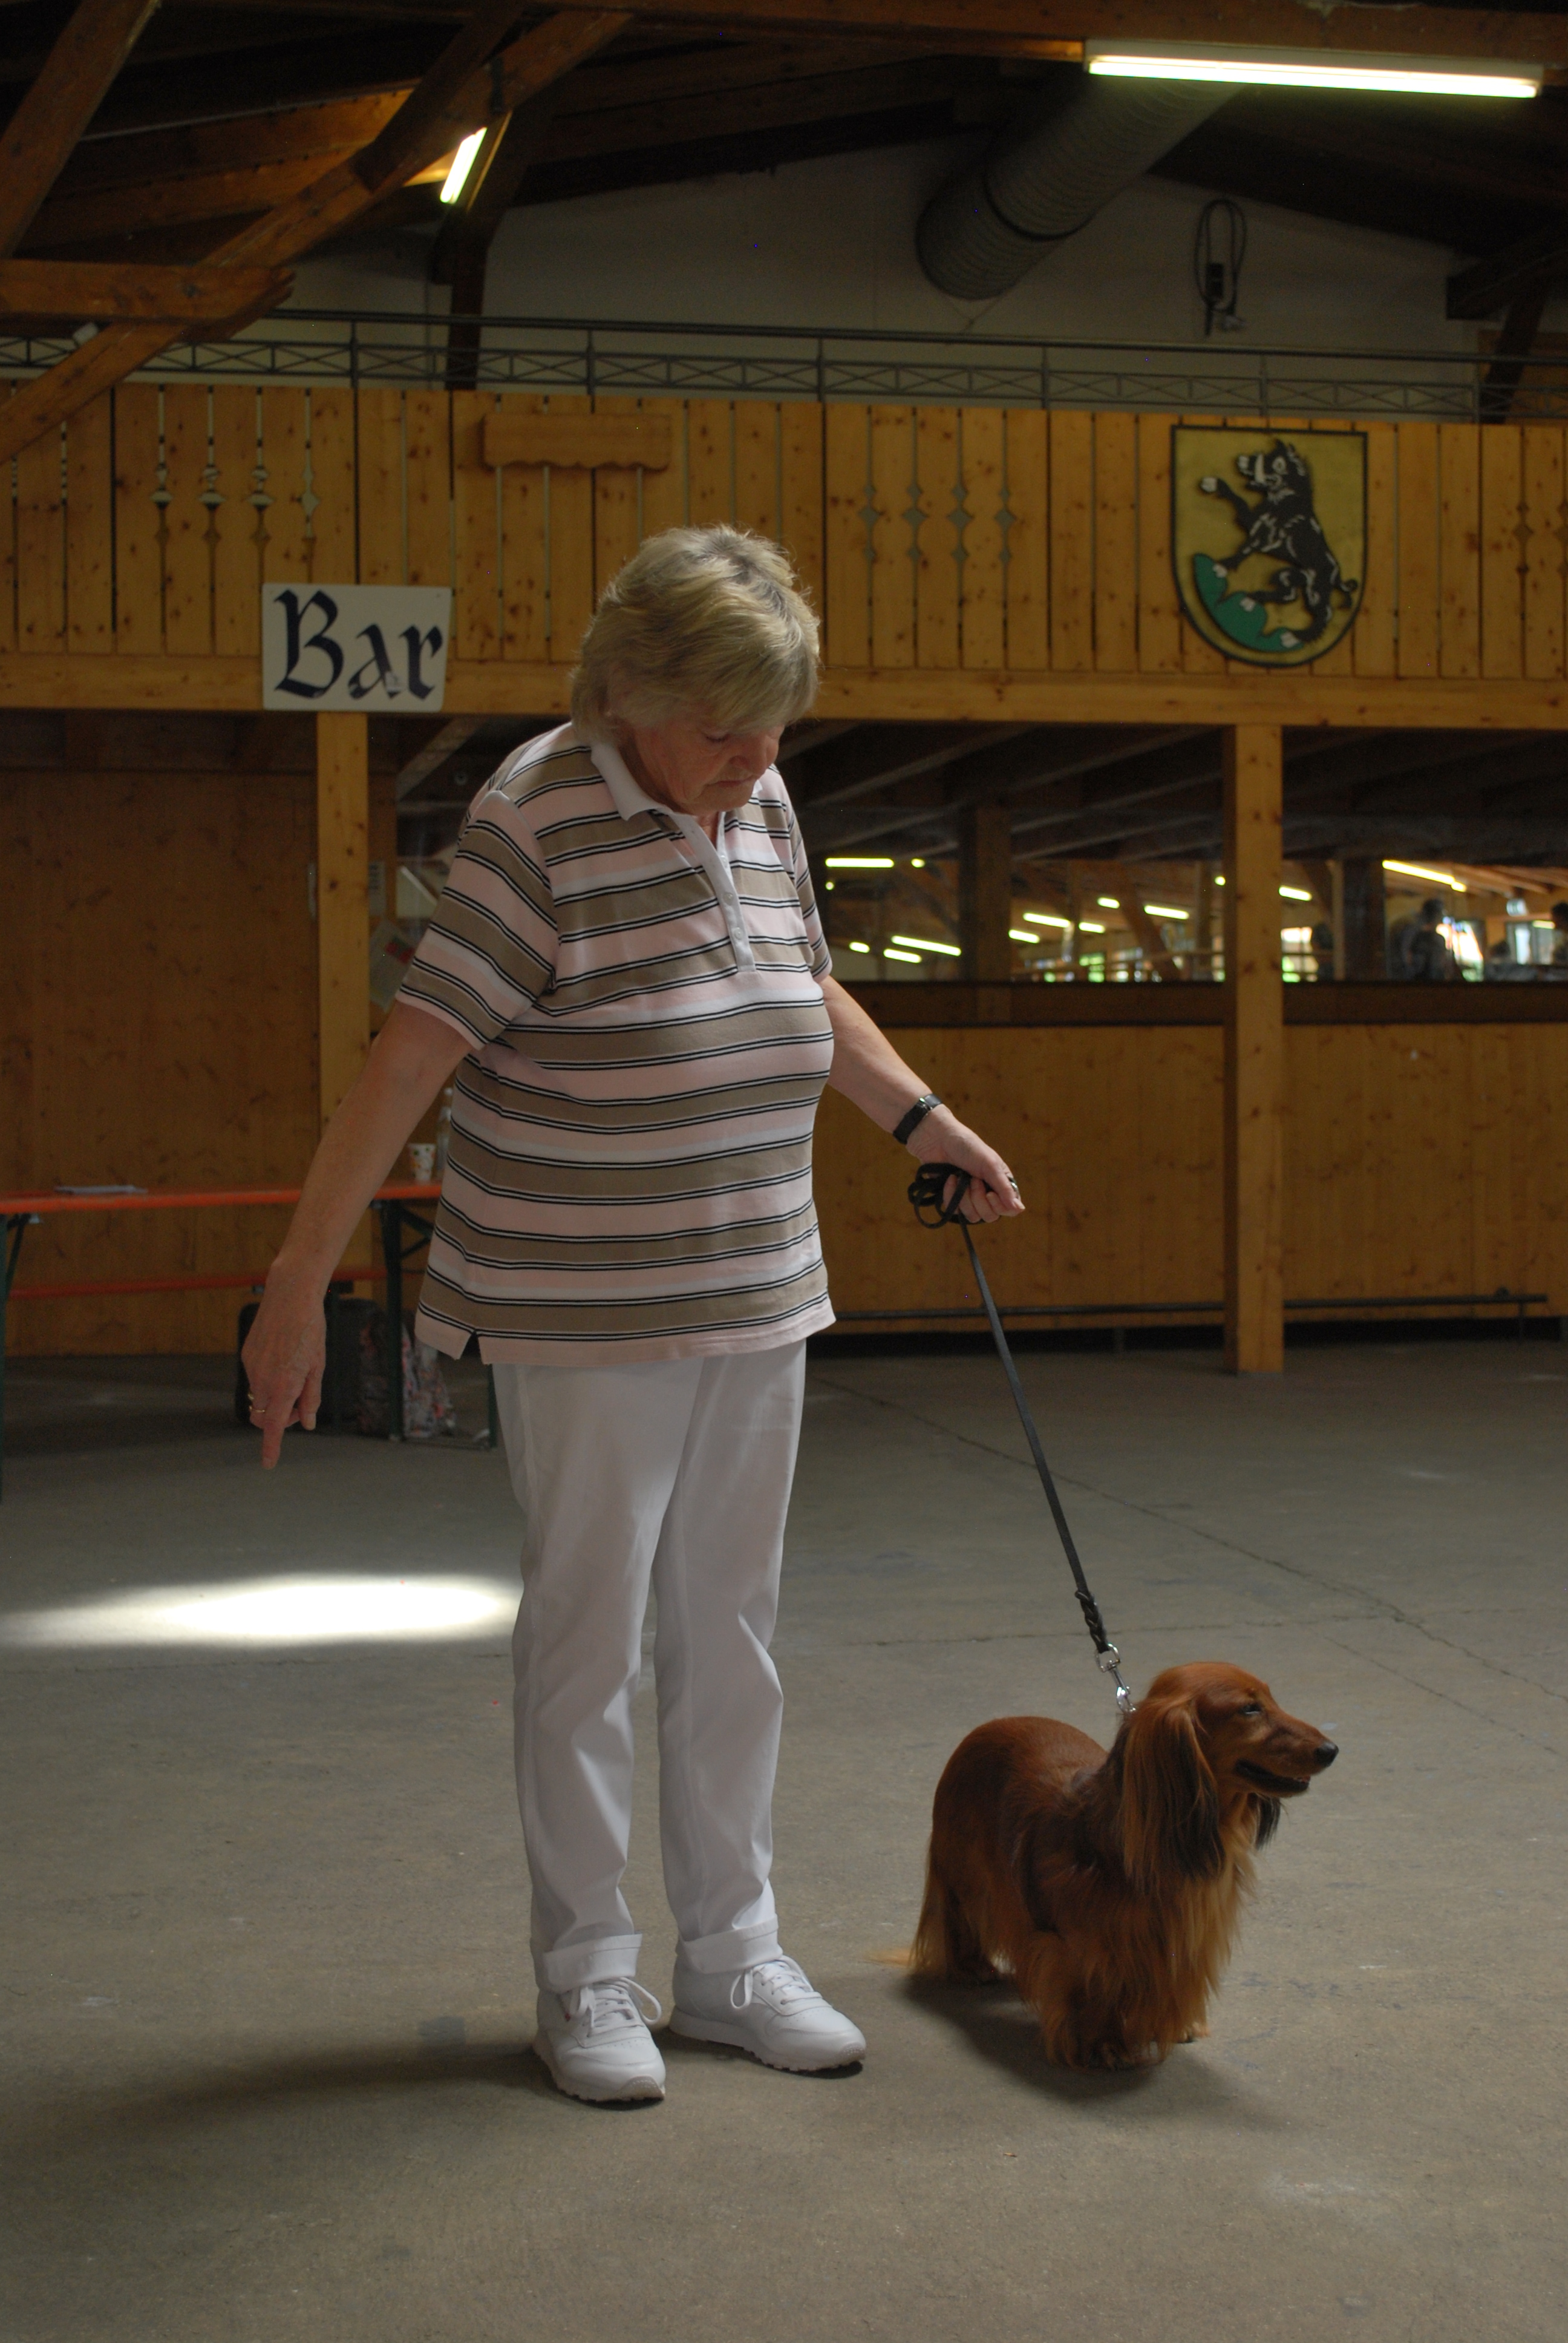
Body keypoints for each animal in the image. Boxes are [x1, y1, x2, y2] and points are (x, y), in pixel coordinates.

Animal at [904, 1668, 1331, 2071]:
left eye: (1272, 1700)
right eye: (1249, 1709)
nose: (1332, 1750)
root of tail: (989, 1725)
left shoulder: (1190, 1932)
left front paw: (1178, 2024)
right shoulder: (1088, 1946)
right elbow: (1093, 1992)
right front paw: (1103, 2045)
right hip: (965, 1873)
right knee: (959, 1917)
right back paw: (970, 1965)